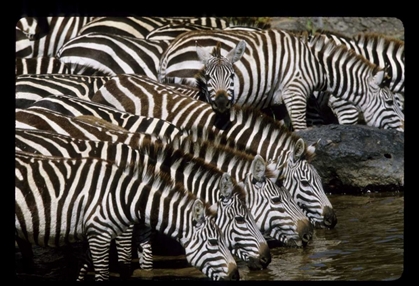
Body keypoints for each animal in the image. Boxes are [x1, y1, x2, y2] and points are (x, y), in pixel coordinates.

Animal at [15, 151, 240, 280]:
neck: (122, 196)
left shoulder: (92, 234)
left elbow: (82, 270)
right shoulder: (99, 235)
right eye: (213, 242)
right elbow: (102, 276)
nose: (236, 276)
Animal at [157, 28, 404, 131]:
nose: (403, 129)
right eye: (390, 102)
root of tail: (169, 50)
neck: (318, 67)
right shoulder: (299, 94)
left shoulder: (283, 102)